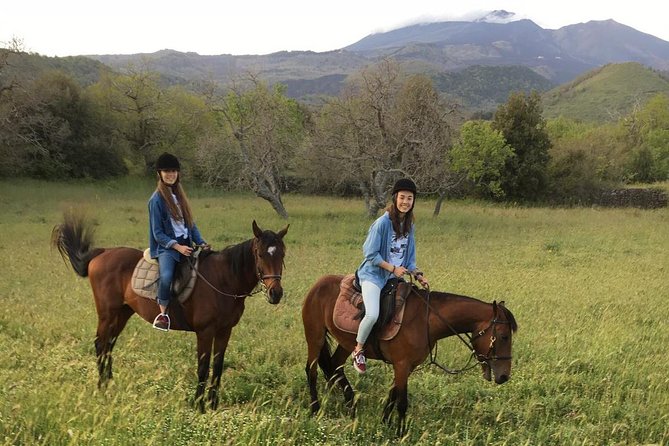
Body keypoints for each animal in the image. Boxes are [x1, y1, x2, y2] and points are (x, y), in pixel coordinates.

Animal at [52, 213, 288, 412]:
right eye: (259, 254)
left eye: (282, 254)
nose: (276, 293)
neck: (223, 279)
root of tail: (102, 253)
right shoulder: (205, 331)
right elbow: (203, 367)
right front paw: (199, 406)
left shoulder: (225, 331)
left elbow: (218, 366)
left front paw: (213, 405)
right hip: (107, 313)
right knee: (101, 344)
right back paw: (102, 388)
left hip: (122, 314)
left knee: (109, 345)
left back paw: (110, 384)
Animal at [302, 274, 516, 434]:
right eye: (504, 336)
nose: (504, 376)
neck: (425, 319)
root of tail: (318, 284)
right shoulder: (402, 364)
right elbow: (402, 401)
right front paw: (400, 432)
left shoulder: (407, 366)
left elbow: (393, 394)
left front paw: (385, 422)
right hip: (315, 336)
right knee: (311, 370)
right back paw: (315, 409)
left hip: (347, 344)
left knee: (336, 367)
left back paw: (352, 406)